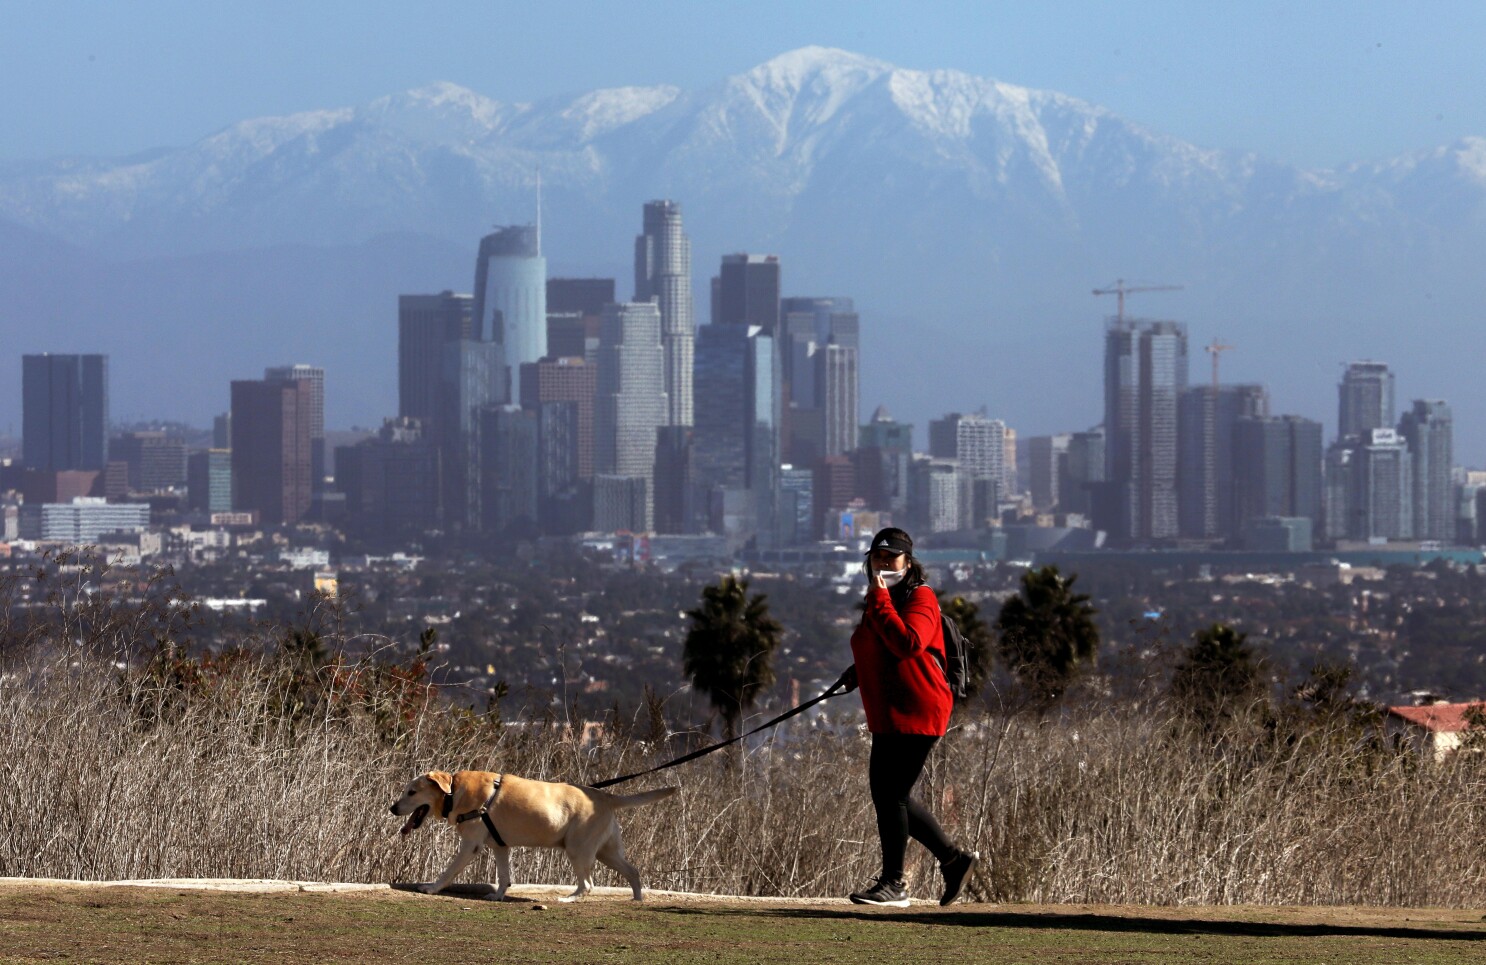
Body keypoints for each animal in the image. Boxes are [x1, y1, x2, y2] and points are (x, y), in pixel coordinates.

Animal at [392, 773, 677, 898]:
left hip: (578, 850)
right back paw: (637, 900)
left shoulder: (470, 845)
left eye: (412, 792)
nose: (392, 808)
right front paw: (497, 896)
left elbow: (449, 871)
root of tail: (606, 796)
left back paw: (568, 899)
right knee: (633, 872)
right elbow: (504, 876)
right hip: (606, 852)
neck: (454, 792)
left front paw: (431, 888)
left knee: (588, 884)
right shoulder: (500, 846)